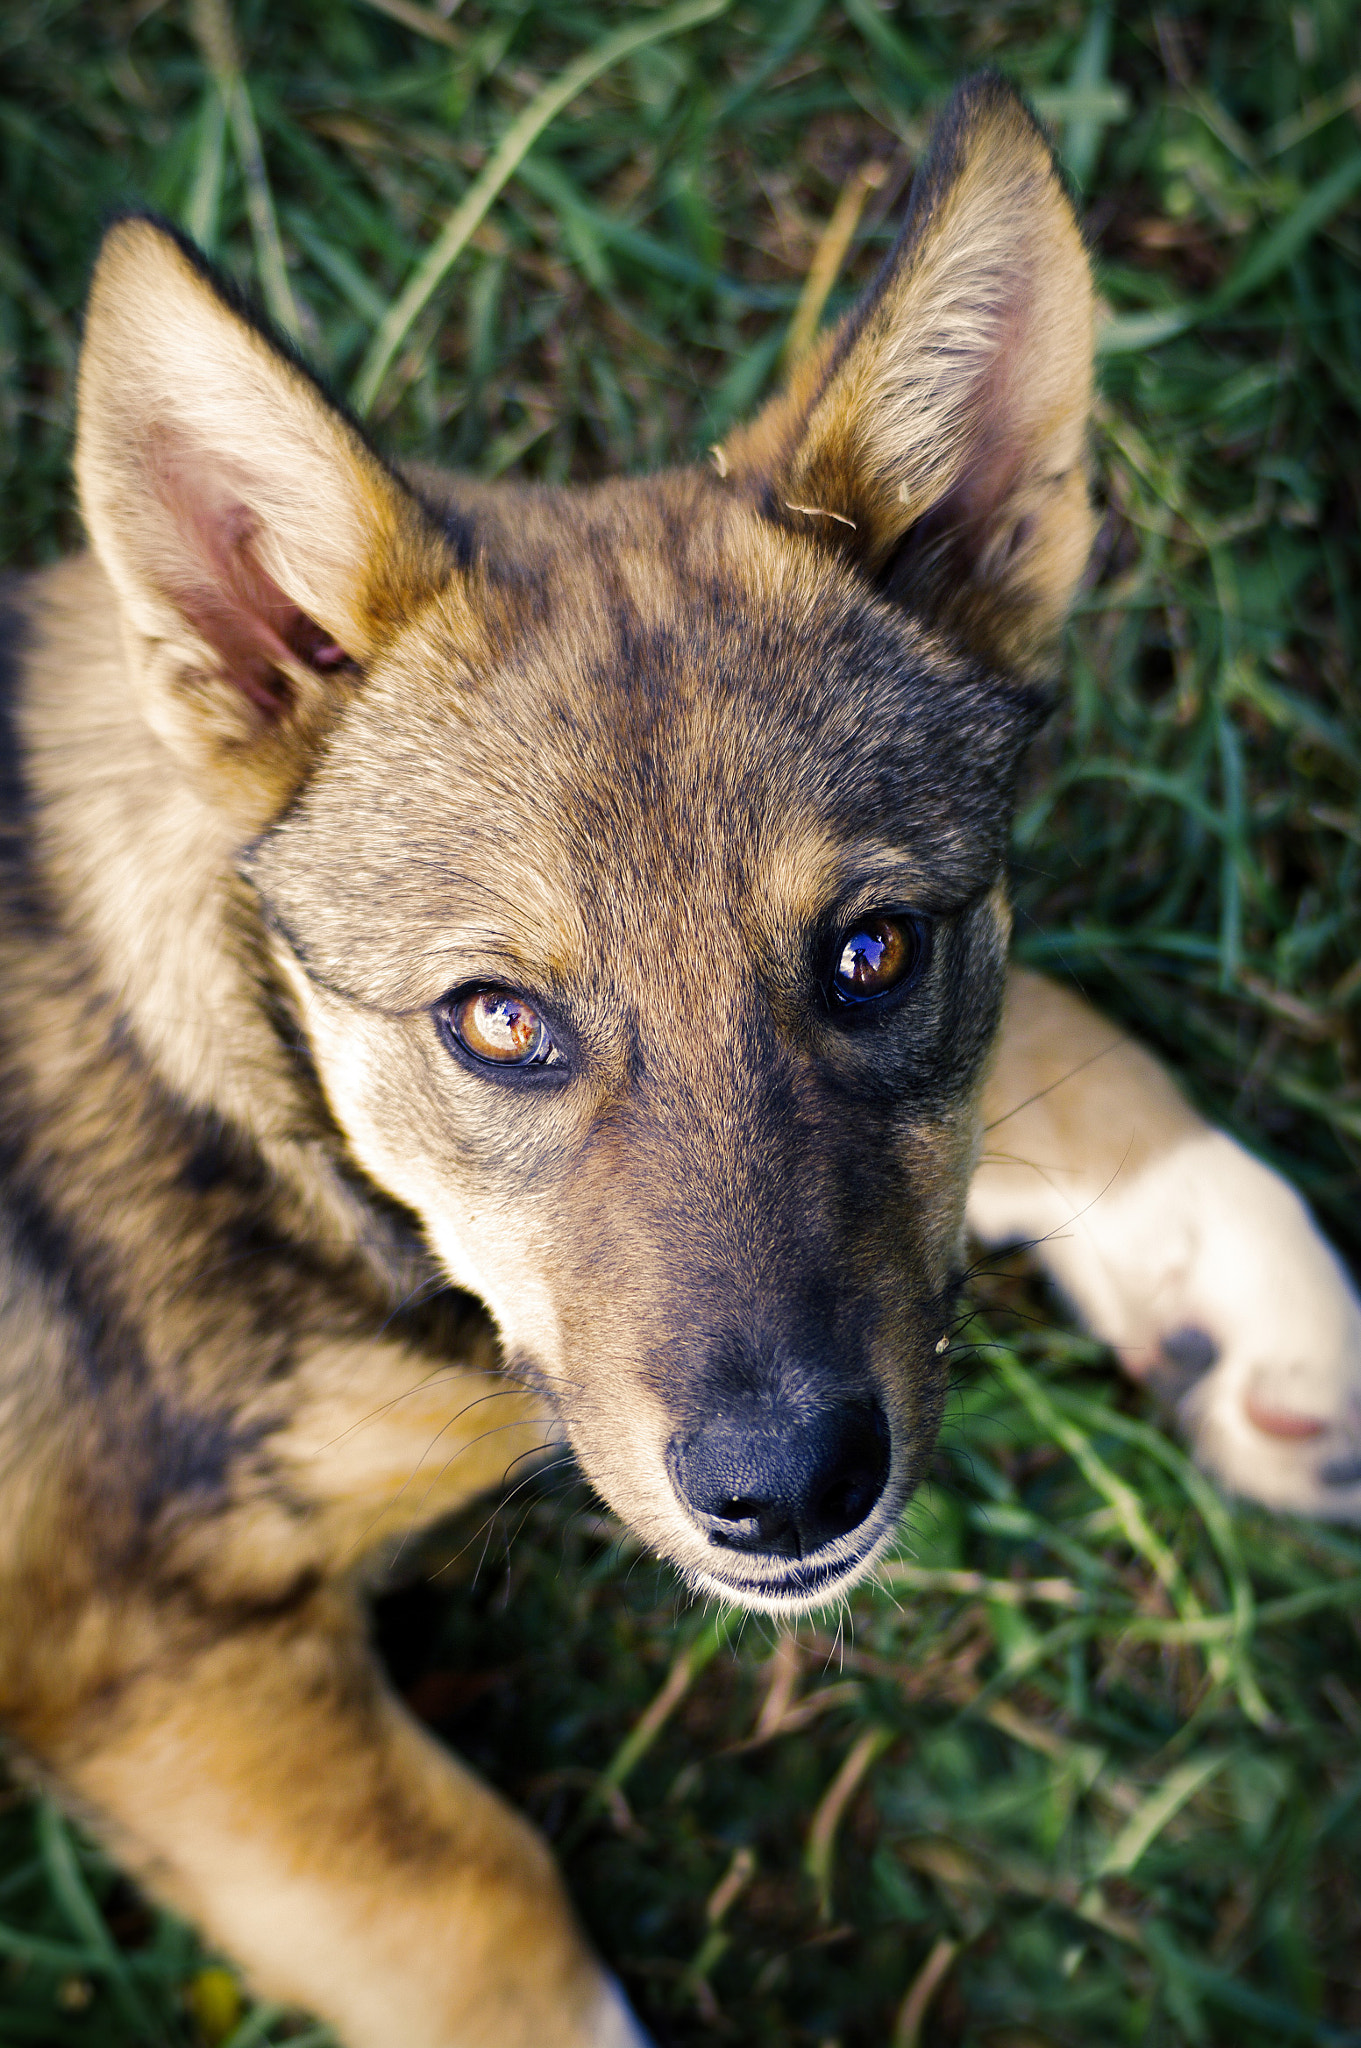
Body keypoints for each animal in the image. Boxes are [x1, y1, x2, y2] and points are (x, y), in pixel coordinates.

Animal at [2, 72, 1358, 2048]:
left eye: (873, 955)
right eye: (498, 1020)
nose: (787, 1492)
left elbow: (1052, 1027)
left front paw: (1241, 1292)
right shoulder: (143, 1660)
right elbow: (483, 1917)